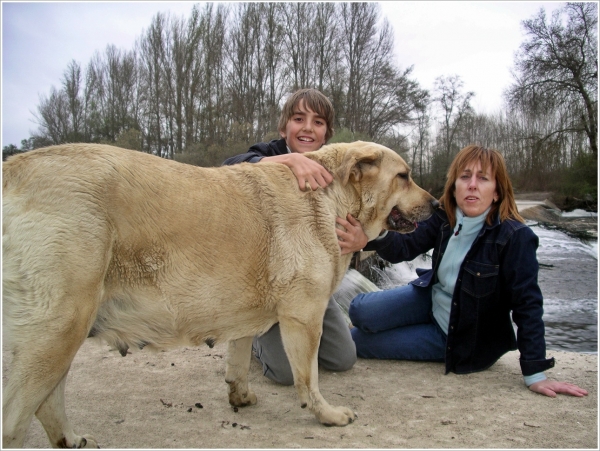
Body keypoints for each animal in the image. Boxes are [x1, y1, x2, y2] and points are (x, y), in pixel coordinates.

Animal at [2, 141, 438, 448]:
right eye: (404, 176)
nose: (437, 204)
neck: (331, 200)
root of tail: (13, 169)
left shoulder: (245, 315)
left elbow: (238, 360)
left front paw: (240, 396)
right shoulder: (304, 316)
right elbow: (308, 379)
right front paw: (325, 415)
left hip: (61, 336)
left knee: (48, 402)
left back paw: (70, 440)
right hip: (59, 330)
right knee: (15, 419)